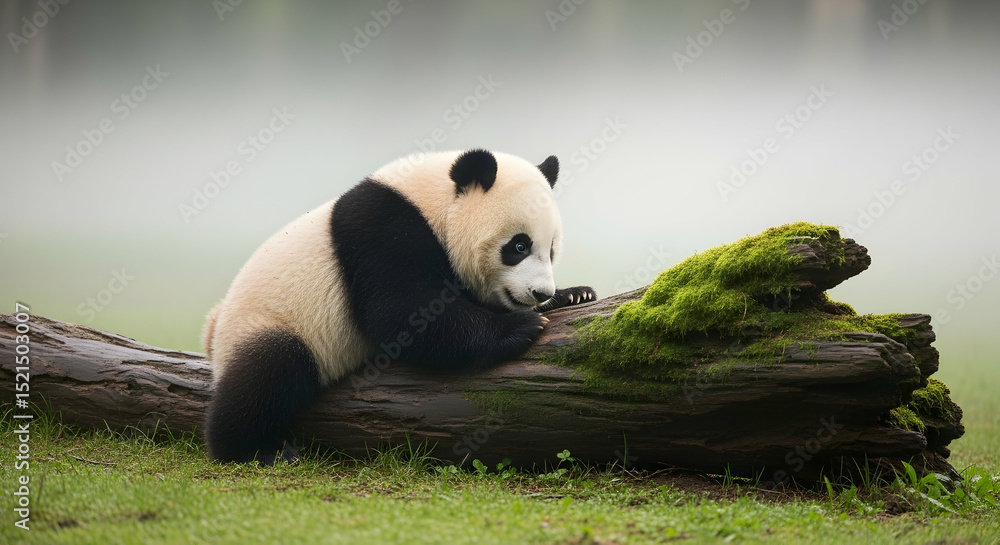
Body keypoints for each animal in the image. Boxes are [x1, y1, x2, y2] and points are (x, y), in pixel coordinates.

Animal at [202, 149, 596, 464]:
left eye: (551, 250)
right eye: (518, 246)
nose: (540, 293)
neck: (431, 201)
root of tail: (214, 330)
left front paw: (574, 294)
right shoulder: (381, 231)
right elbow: (402, 313)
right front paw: (520, 327)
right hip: (270, 322)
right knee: (267, 374)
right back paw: (255, 450)